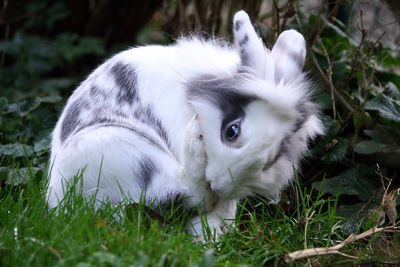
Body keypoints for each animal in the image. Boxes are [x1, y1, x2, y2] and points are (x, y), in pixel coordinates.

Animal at [47, 9, 324, 237]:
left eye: (273, 158)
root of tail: (55, 200)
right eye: (231, 131)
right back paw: (195, 143)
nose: (219, 184)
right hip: (117, 153)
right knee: (189, 192)